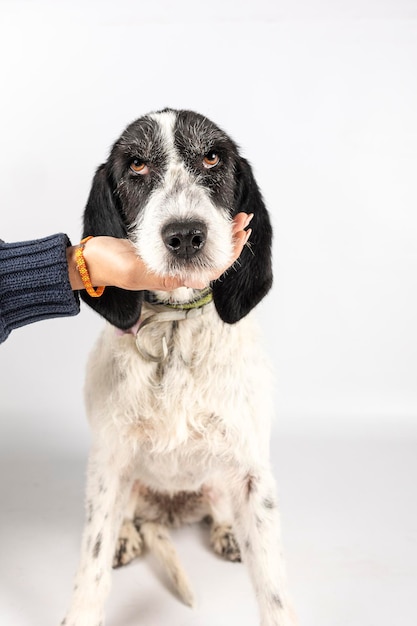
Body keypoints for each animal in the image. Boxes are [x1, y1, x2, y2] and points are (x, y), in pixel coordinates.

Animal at [62, 108, 296, 624]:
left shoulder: (252, 471)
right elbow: (91, 564)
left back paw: (227, 531)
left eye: (212, 157)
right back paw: (125, 536)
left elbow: (274, 588)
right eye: (137, 165)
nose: (186, 235)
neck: (174, 333)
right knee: (119, 517)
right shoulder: (109, 461)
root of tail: (169, 512)